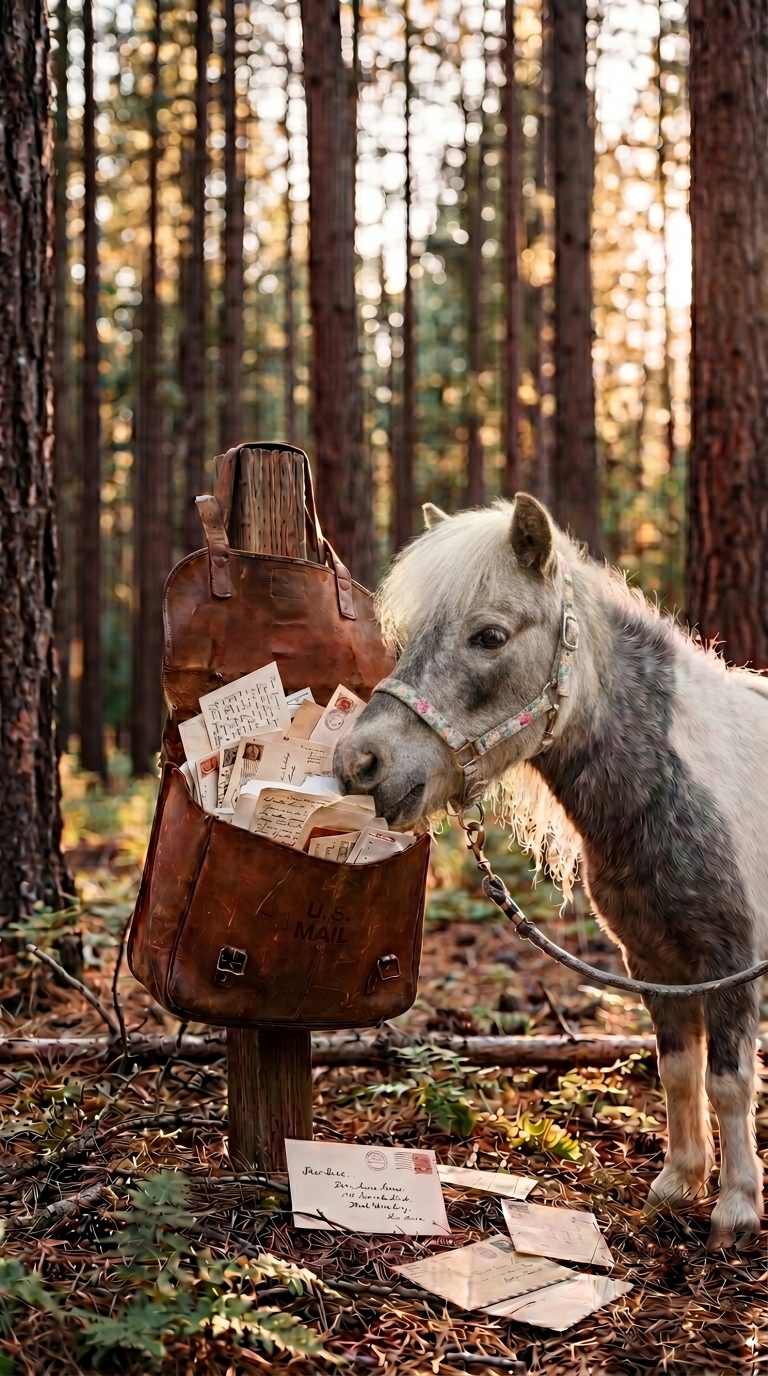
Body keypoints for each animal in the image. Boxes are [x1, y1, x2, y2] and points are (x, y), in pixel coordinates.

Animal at [335, 493, 767, 1249]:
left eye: (489, 636)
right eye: (410, 637)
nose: (362, 763)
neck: (677, 786)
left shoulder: (729, 961)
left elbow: (728, 1080)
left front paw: (737, 1209)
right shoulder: (653, 962)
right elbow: (679, 1069)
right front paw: (679, 1183)